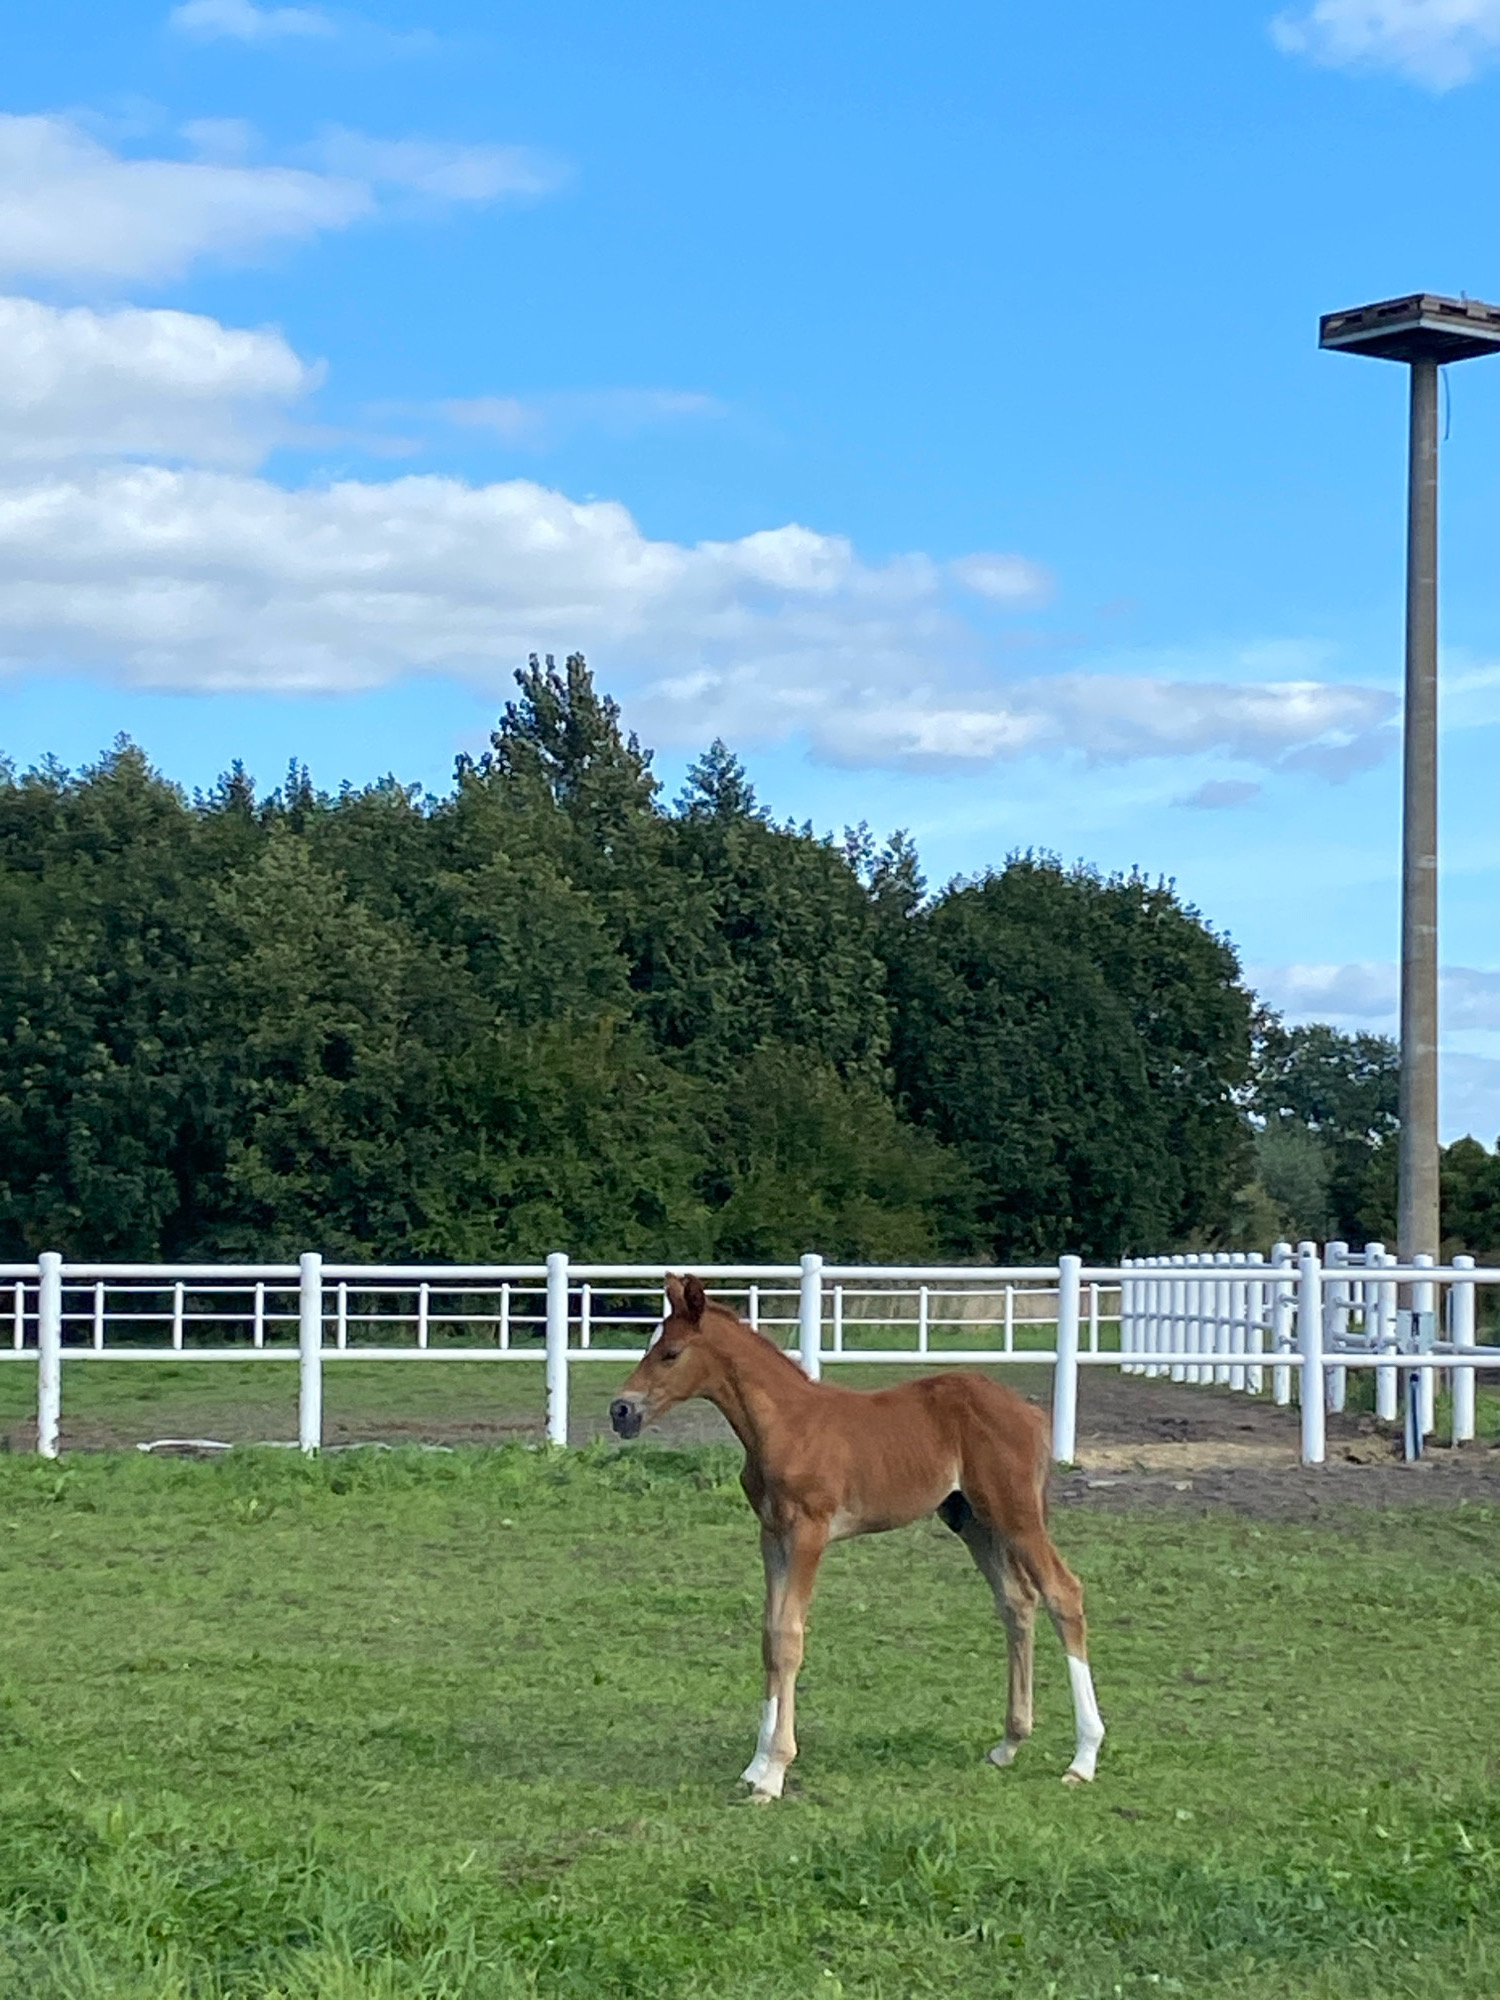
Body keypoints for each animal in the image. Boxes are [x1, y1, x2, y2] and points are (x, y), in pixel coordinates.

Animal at [609, 1273, 1104, 1802]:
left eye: (671, 1353)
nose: (621, 1410)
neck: (785, 1424)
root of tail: (1032, 1415)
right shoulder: (771, 1535)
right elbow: (769, 1636)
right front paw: (756, 1764)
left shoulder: (809, 1532)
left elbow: (789, 1638)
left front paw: (774, 1771)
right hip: (971, 1520)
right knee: (1016, 1602)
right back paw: (1009, 1743)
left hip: (1015, 1514)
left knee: (1062, 1592)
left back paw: (1083, 1758)